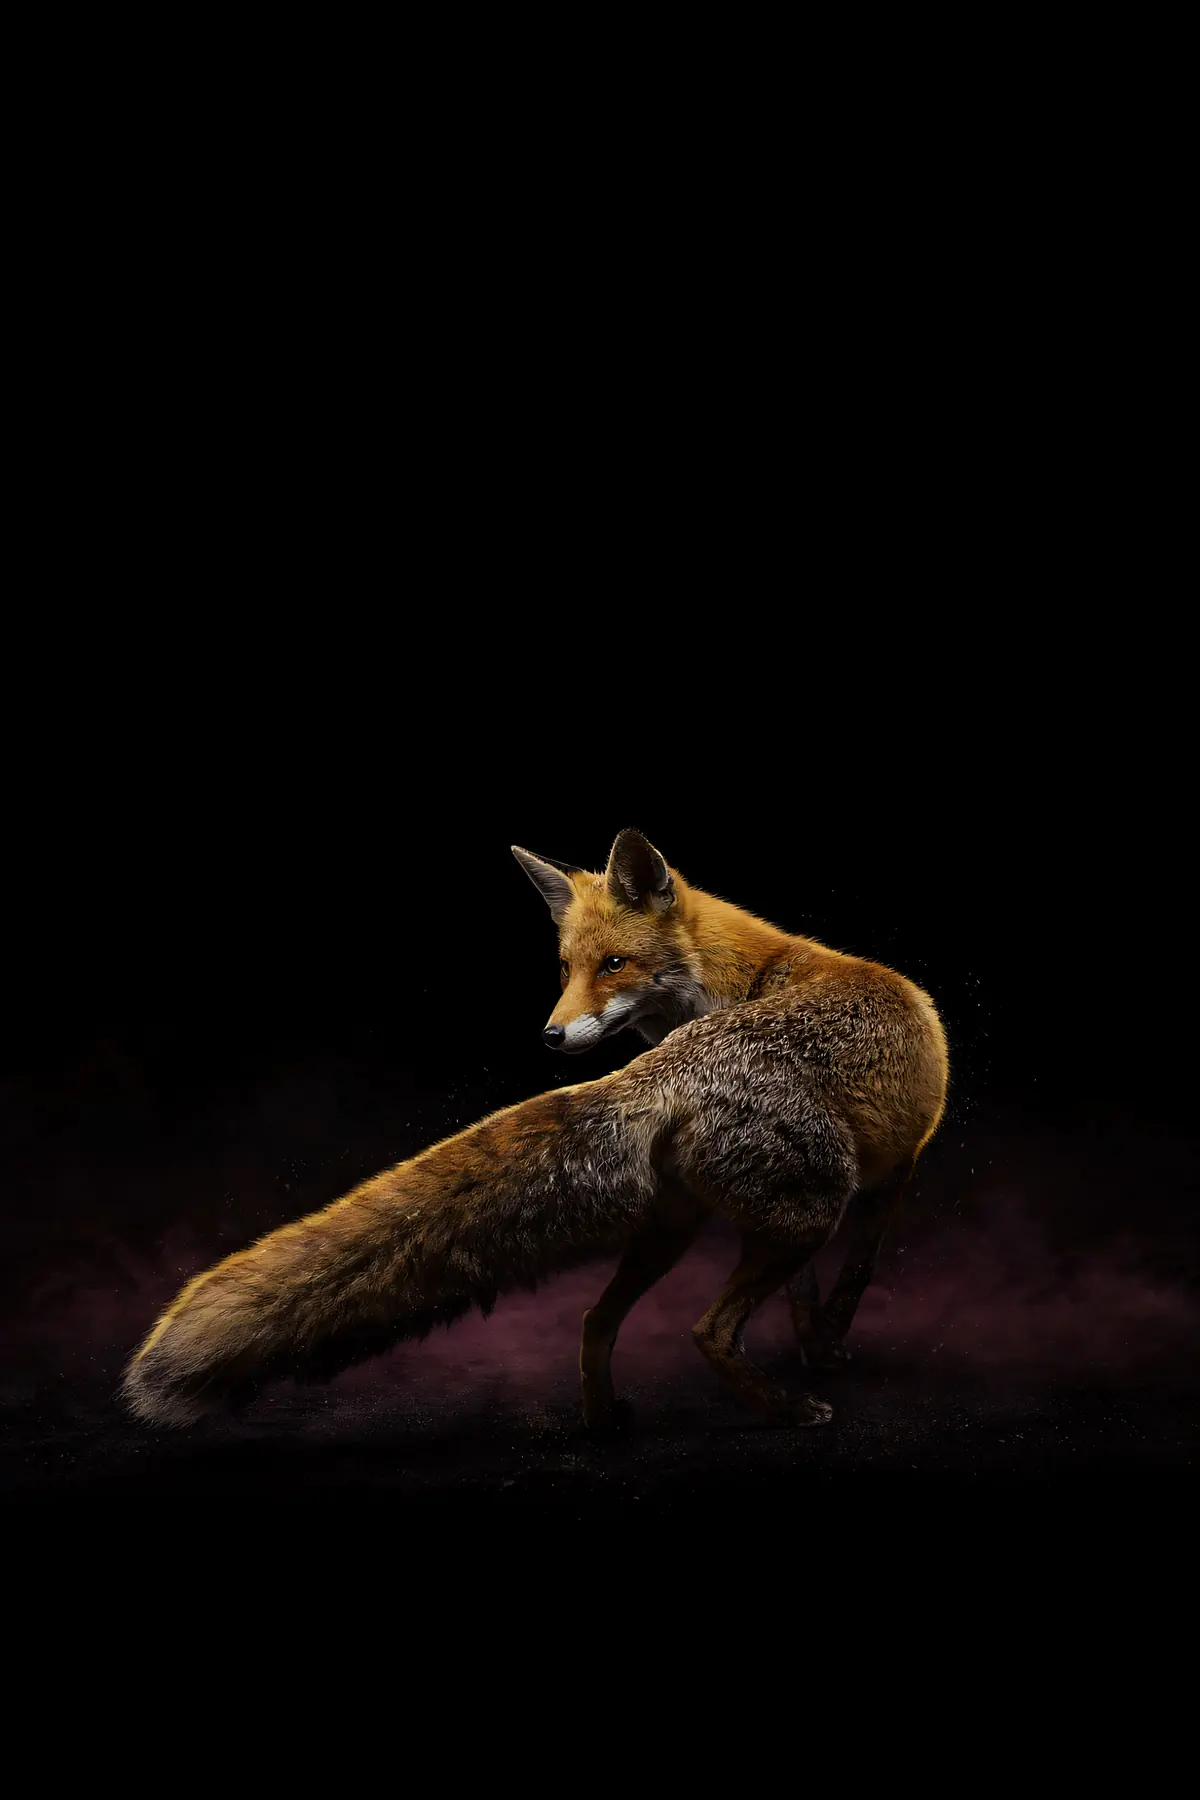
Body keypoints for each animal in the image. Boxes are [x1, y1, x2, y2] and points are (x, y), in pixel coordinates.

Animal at [123, 829, 948, 1434]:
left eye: (614, 964)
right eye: (563, 968)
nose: (549, 1037)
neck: (741, 987)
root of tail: (664, 1069)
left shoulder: (836, 1194)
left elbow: (810, 1297)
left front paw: (816, 1346)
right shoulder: (893, 1172)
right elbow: (857, 1274)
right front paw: (827, 1353)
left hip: (684, 1226)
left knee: (593, 1320)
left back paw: (604, 1423)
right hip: (804, 1211)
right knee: (707, 1330)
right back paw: (783, 1412)